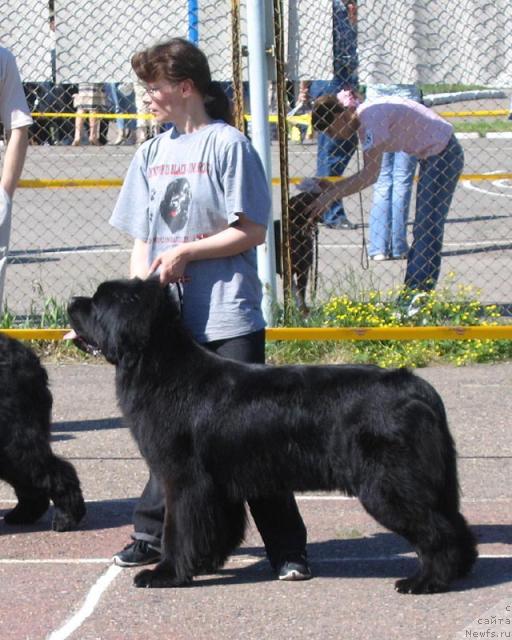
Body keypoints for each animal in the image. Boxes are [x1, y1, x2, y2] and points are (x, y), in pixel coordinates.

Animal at [67, 278, 476, 592]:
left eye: (98, 301)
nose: (72, 300)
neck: (158, 365)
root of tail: (415, 386)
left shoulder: (183, 480)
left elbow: (178, 529)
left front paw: (166, 573)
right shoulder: (216, 484)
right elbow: (215, 528)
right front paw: (206, 562)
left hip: (388, 485)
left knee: (436, 530)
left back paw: (426, 582)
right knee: (454, 522)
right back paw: (460, 570)